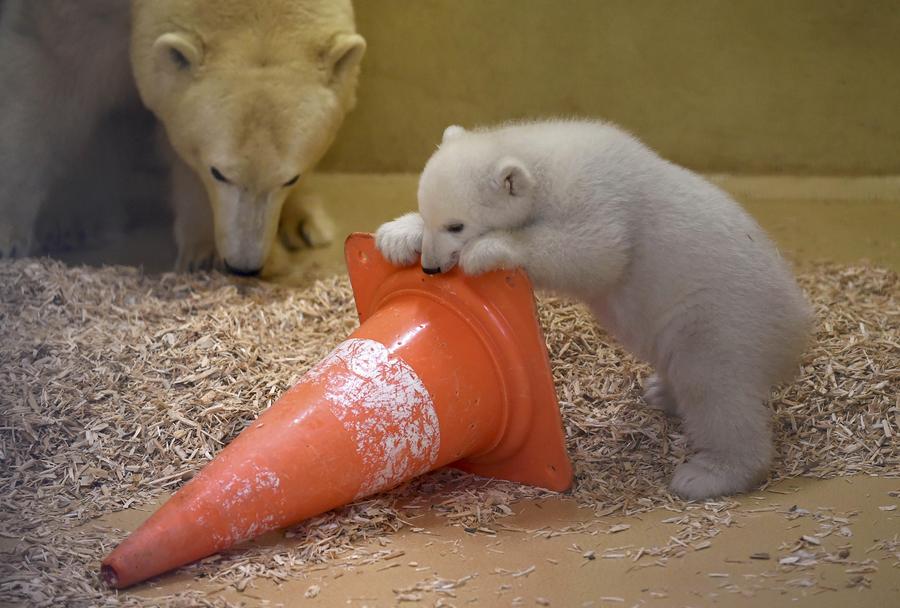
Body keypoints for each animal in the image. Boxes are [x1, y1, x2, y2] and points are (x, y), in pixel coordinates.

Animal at [0, 0, 365, 276]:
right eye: (218, 173)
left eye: (291, 178)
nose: (244, 266)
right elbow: (50, 70)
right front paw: (9, 235)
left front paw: (203, 252)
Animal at [376, 120, 813, 500]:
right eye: (432, 216)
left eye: (457, 226)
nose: (432, 267)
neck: (546, 162)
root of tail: (796, 325)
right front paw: (396, 235)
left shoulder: (599, 198)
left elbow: (596, 251)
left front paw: (486, 250)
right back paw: (661, 391)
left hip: (721, 319)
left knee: (716, 389)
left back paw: (708, 474)